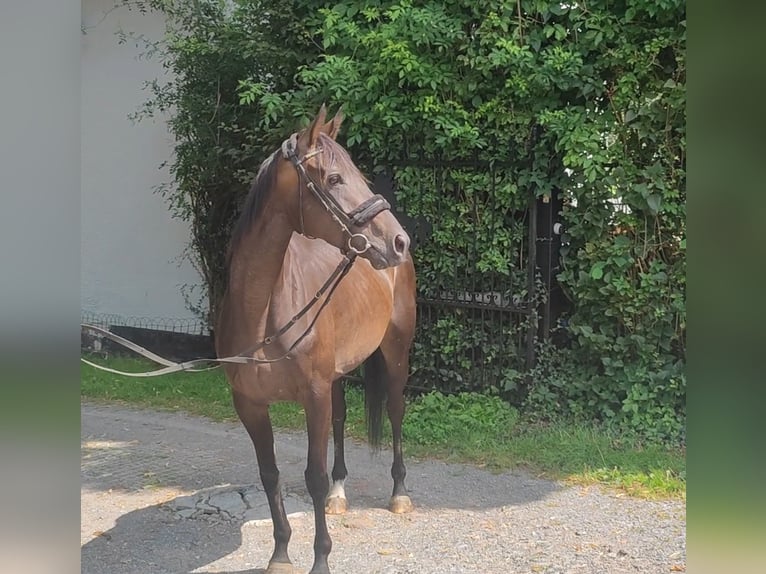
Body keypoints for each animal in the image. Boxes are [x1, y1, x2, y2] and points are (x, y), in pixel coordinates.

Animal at [216, 106, 416, 572]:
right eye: (335, 178)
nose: (399, 241)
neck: (262, 313)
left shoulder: (313, 395)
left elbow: (313, 477)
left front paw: (321, 558)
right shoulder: (250, 405)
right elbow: (270, 473)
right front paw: (280, 553)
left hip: (396, 353)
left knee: (396, 411)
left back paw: (399, 494)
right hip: (337, 377)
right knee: (341, 420)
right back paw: (342, 495)